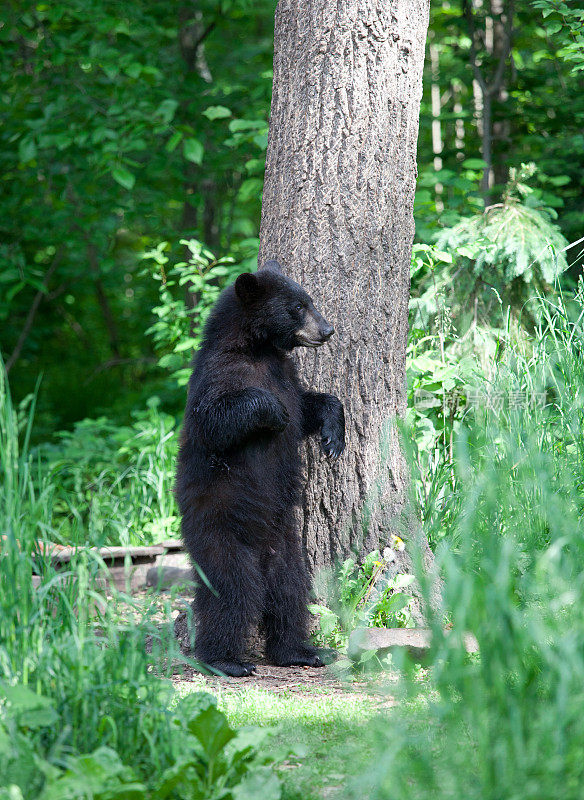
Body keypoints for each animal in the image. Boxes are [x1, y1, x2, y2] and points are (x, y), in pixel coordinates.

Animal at [176, 260, 344, 676]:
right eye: (297, 307)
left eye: (309, 300)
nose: (327, 331)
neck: (259, 349)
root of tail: (261, 548)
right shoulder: (219, 375)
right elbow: (217, 419)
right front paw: (274, 412)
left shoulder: (288, 375)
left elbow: (308, 406)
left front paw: (333, 436)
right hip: (219, 529)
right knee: (230, 591)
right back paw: (225, 659)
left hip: (286, 542)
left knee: (290, 591)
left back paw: (299, 650)